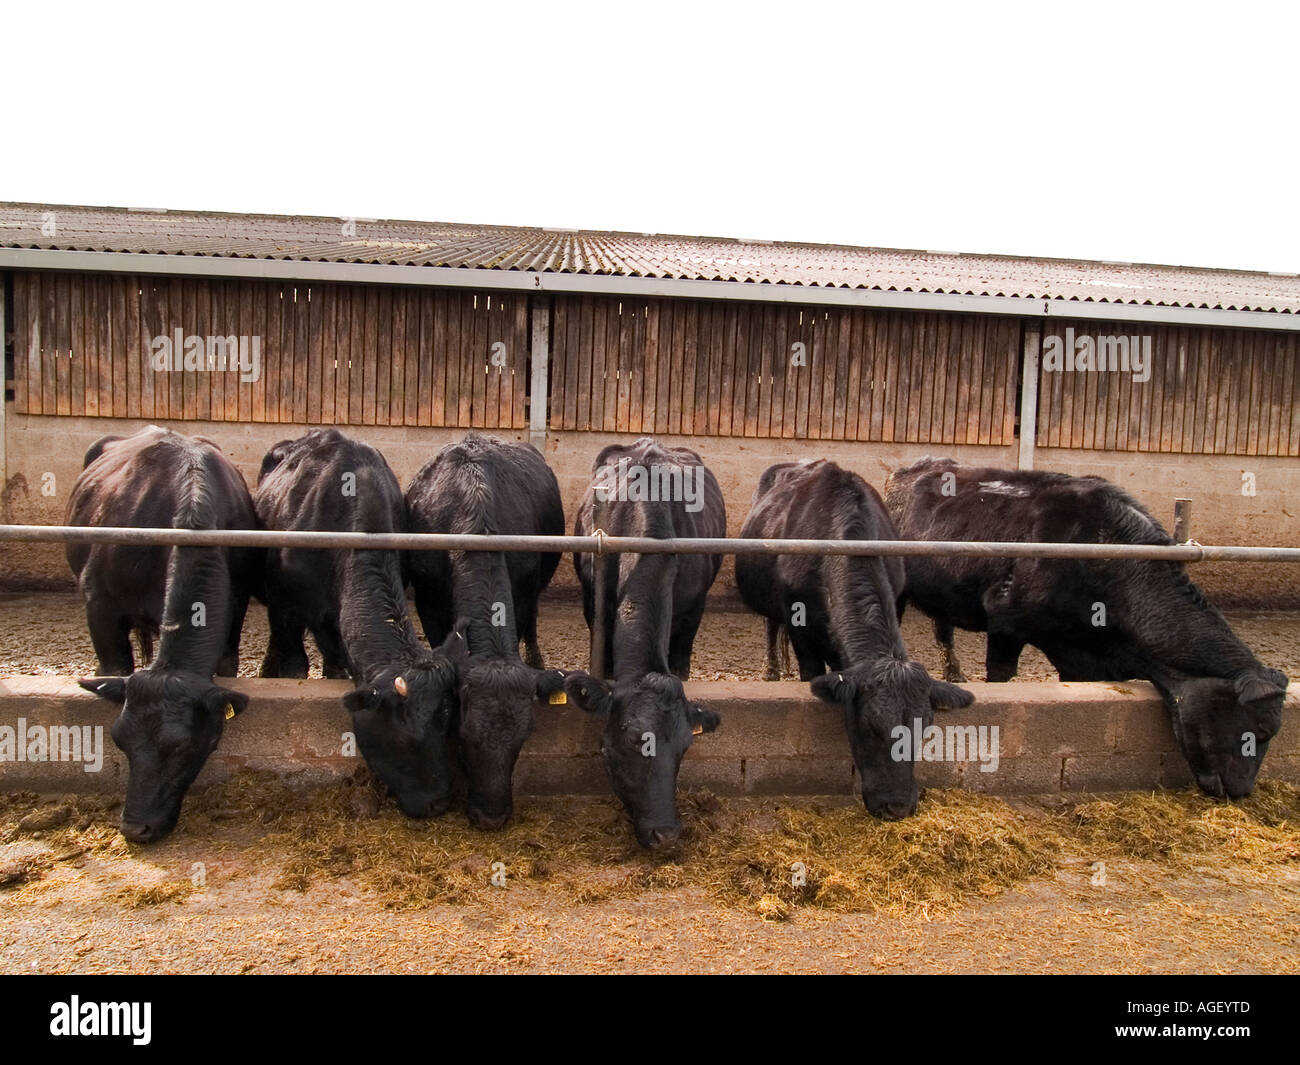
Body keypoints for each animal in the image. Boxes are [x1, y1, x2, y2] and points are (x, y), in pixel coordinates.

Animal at [70, 426, 261, 842]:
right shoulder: (99, 605)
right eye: (118, 738)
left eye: (182, 747)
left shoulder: (236, 606)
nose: (135, 827)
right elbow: (113, 667)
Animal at [736, 459, 974, 821]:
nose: (897, 806)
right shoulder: (802, 634)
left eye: (925, 729)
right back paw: (772, 670)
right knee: (771, 628)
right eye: (872, 726)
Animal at [884, 456, 1289, 798]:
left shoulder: (1085, 655)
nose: (1242, 791)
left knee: (944, 630)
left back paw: (955, 672)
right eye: (1259, 731)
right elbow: (1001, 676)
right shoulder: (1006, 622)